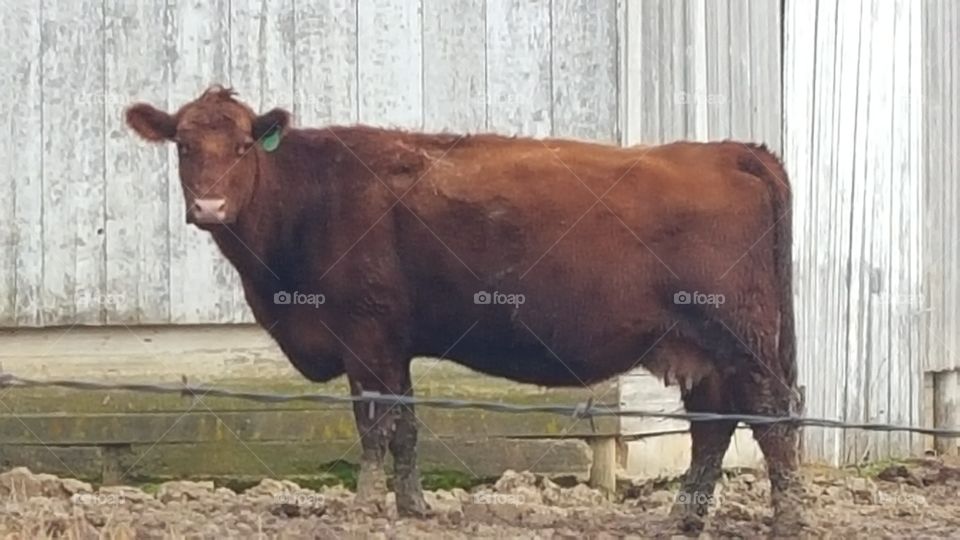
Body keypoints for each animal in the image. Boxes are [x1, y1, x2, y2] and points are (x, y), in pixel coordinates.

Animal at [126, 86, 804, 536]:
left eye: (244, 145)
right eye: (183, 145)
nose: (209, 207)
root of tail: (729, 150)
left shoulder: (362, 332)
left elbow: (373, 425)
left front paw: (364, 509)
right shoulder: (391, 343)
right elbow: (406, 424)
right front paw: (412, 507)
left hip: (739, 335)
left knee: (772, 416)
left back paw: (788, 519)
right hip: (704, 348)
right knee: (714, 423)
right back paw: (680, 520)